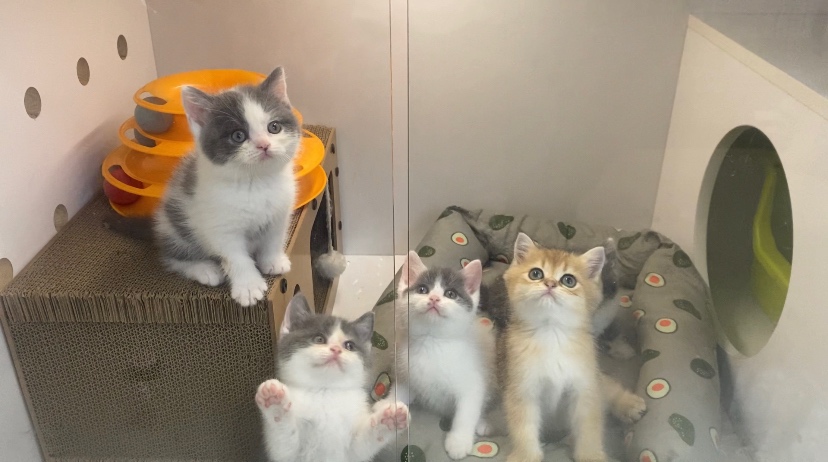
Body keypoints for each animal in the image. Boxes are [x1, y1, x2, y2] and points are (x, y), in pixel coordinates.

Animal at [153, 66, 299, 307]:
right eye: (238, 135)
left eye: (274, 127)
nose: (264, 145)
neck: (256, 182)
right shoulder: (220, 227)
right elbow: (236, 257)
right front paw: (248, 287)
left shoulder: (280, 211)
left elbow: (274, 238)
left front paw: (273, 260)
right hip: (174, 226)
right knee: (172, 257)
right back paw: (204, 269)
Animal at [255, 293, 409, 462]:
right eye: (319, 339)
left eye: (349, 346)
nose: (336, 349)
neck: (325, 392)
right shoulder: (286, 455)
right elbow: (284, 443)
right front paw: (274, 402)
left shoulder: (353, 454)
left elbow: (361, 446)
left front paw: (390, 419)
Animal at [394, 251, 496, 460]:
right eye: (423, 289)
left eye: (451, 294)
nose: (434, 298)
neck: (432, 342)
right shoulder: (405, 371)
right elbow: (397, 392)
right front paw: (387, 412)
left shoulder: (473, 383)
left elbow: (466, 412)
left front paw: (459, 442)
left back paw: (485, 423)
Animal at [497, 233, 646, 462]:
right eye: (535, 273)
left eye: (569, 280)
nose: (550, 283)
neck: (552, 334)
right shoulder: (522, 388)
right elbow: (523, 427)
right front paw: (526, 455)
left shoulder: (584, 387)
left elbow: (589, 426)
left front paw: (591, 455)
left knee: (608, 387)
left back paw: (629, 405)